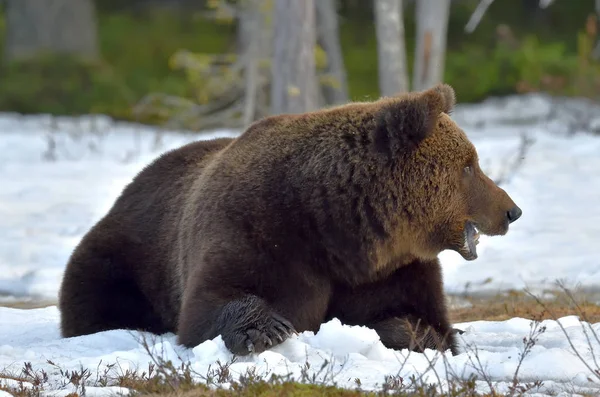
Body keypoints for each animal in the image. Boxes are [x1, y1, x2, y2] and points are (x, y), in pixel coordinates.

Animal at [58, 83, 524, 356]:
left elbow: (418, 316)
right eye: (470, 165)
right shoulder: (254, 227)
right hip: (126, 251)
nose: (511, 210)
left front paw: (413, 333)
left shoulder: (389, 268)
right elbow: (210, 302)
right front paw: (266, 328)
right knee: (97, 293)